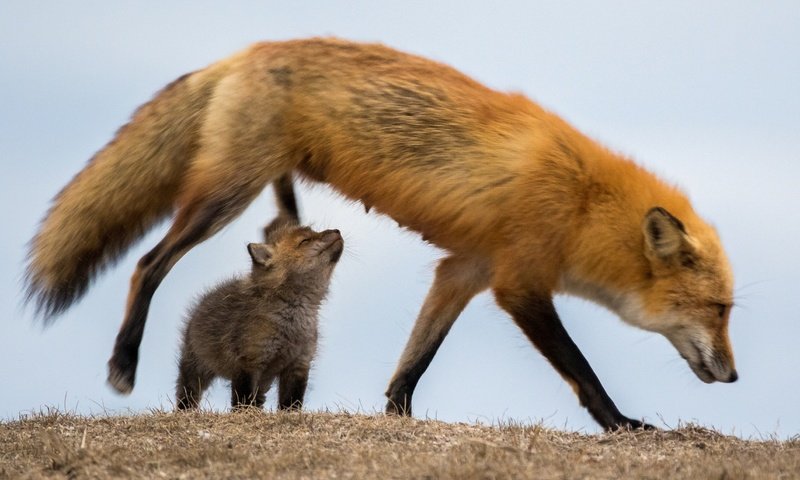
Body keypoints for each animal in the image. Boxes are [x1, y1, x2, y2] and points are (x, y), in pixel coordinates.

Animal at [25, 36, 736, 428]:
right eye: (719, 309)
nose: (733, 378)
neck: (585, 203)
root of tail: (244, 51)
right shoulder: (518, 283)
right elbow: (582, 370)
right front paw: (620, 425)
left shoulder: (465, 269)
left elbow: (412, 364)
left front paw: (396, 419)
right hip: (225, 193)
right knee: (148, 263)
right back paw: (123, 362)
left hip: (267, 183)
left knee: (266, 225)